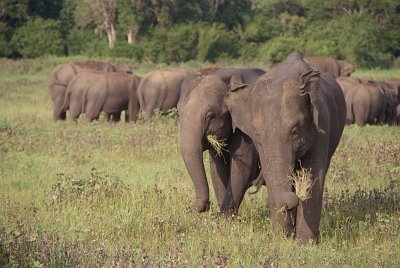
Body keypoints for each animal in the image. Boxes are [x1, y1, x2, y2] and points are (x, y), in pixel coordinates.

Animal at [222, 52, 346, 243]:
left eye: (295, 131)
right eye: (257, 135)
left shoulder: (322, 124)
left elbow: (313, 174)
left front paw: (305, 243)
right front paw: (283, 238)